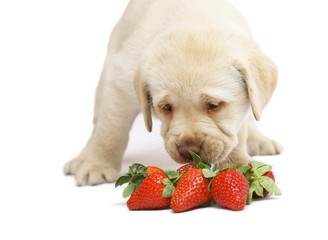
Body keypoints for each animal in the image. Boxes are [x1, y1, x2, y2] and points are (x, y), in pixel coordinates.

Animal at [63, 0, 282, 186]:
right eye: (166, 107)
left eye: (213, 105)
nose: (188, 150)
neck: (196, 20)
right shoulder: (120, 82)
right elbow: (110, 131)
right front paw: (97, 165)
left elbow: (238, 130)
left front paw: (236, 163)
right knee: (98, 125)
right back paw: (82, 159)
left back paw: (259, 140)